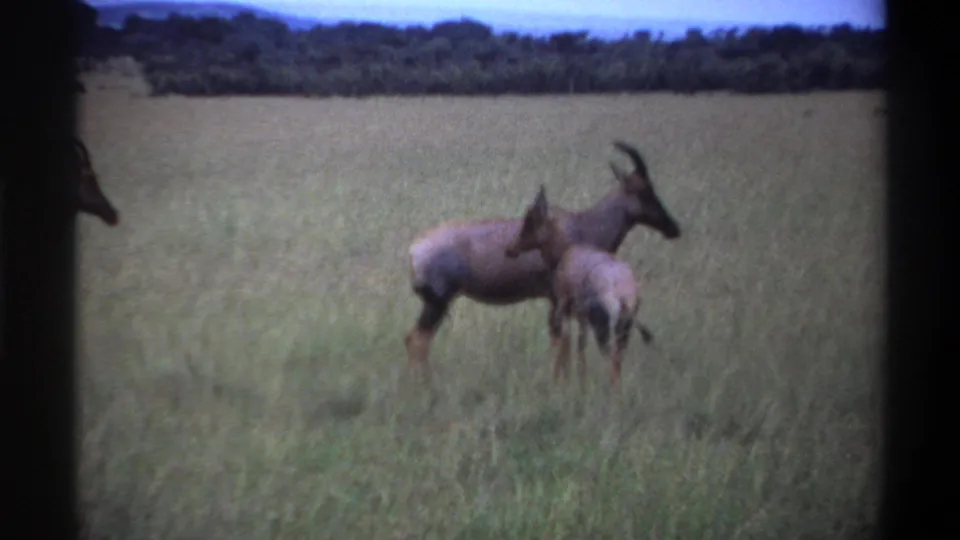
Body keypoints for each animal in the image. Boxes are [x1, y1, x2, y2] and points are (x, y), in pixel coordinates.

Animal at [505, 185, 646, 389]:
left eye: (530, 221)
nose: (510, 249)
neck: (569, 252)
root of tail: (621, 293)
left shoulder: (567, 311)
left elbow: (569, 345)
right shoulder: (580, 317)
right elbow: (577, 347)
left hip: (602, 328)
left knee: (610, 358)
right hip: (622, 329)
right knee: (617, 358)